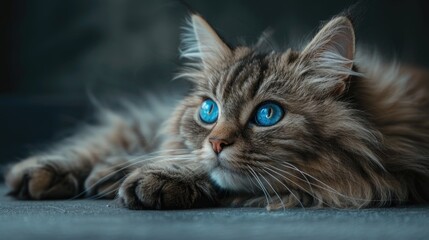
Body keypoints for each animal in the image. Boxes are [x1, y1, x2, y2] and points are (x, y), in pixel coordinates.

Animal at [4, 12, 428, 209]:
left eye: (268, 115)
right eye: (209, 111)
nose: (216, 143)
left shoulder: (390, 178)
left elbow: (219, 176)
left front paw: (155, 179)